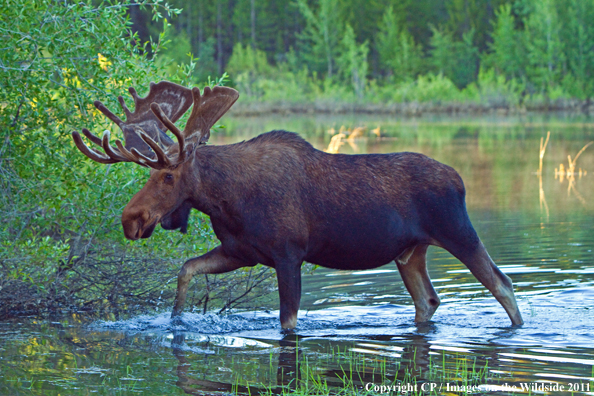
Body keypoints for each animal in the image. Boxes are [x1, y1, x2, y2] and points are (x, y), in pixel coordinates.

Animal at [71, 80, 520, 328]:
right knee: (428, 300)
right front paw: (176, 318)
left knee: (502, 283)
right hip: (410, 252)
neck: (227, 202)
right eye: (148, 175)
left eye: (167, 176)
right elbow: (186, 269)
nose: (131, 219)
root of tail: (459, 179)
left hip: (458, 232)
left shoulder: (289, 255)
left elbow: (287, 322)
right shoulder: (241, 251)